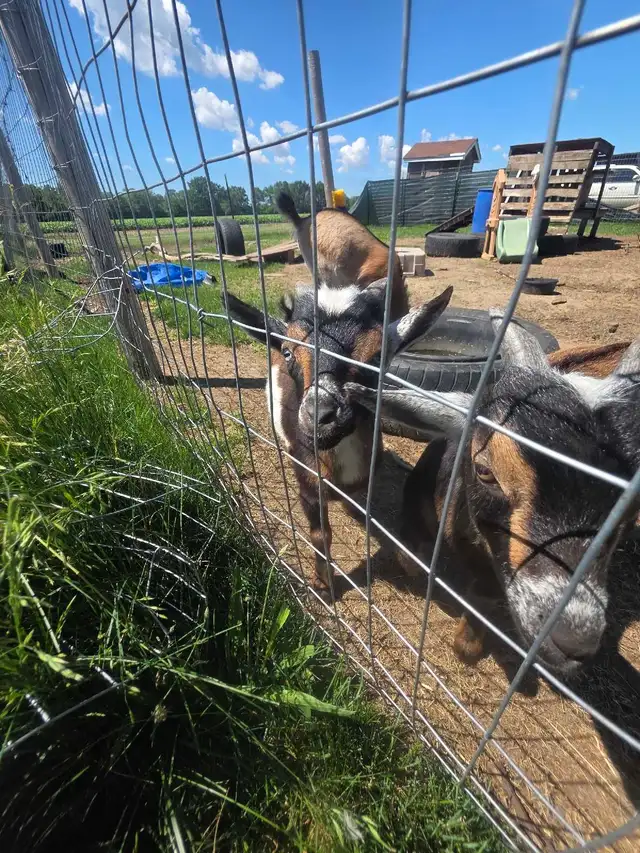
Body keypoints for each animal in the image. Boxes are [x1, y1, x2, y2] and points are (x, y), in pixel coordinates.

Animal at [225, 281, 453, 592]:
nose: (321, 416)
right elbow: (320, 536)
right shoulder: (309, 482)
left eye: (377, 357)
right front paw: (324, 584)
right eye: (287, 352)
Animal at [346, 316, 639, 676]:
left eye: (631, 511)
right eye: (485, 471)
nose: (573, 640)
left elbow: (482, 596)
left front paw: (468, 644)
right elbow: (411, 554)